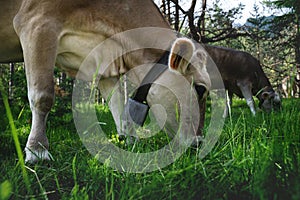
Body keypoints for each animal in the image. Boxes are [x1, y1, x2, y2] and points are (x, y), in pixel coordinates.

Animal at [0, 0, 211, 162]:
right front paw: (38, 150)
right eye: (201, 89)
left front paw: (131, 143)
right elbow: (42, 97)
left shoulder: (104, 64)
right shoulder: (37, 23)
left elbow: (118, 105)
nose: (199, 142)